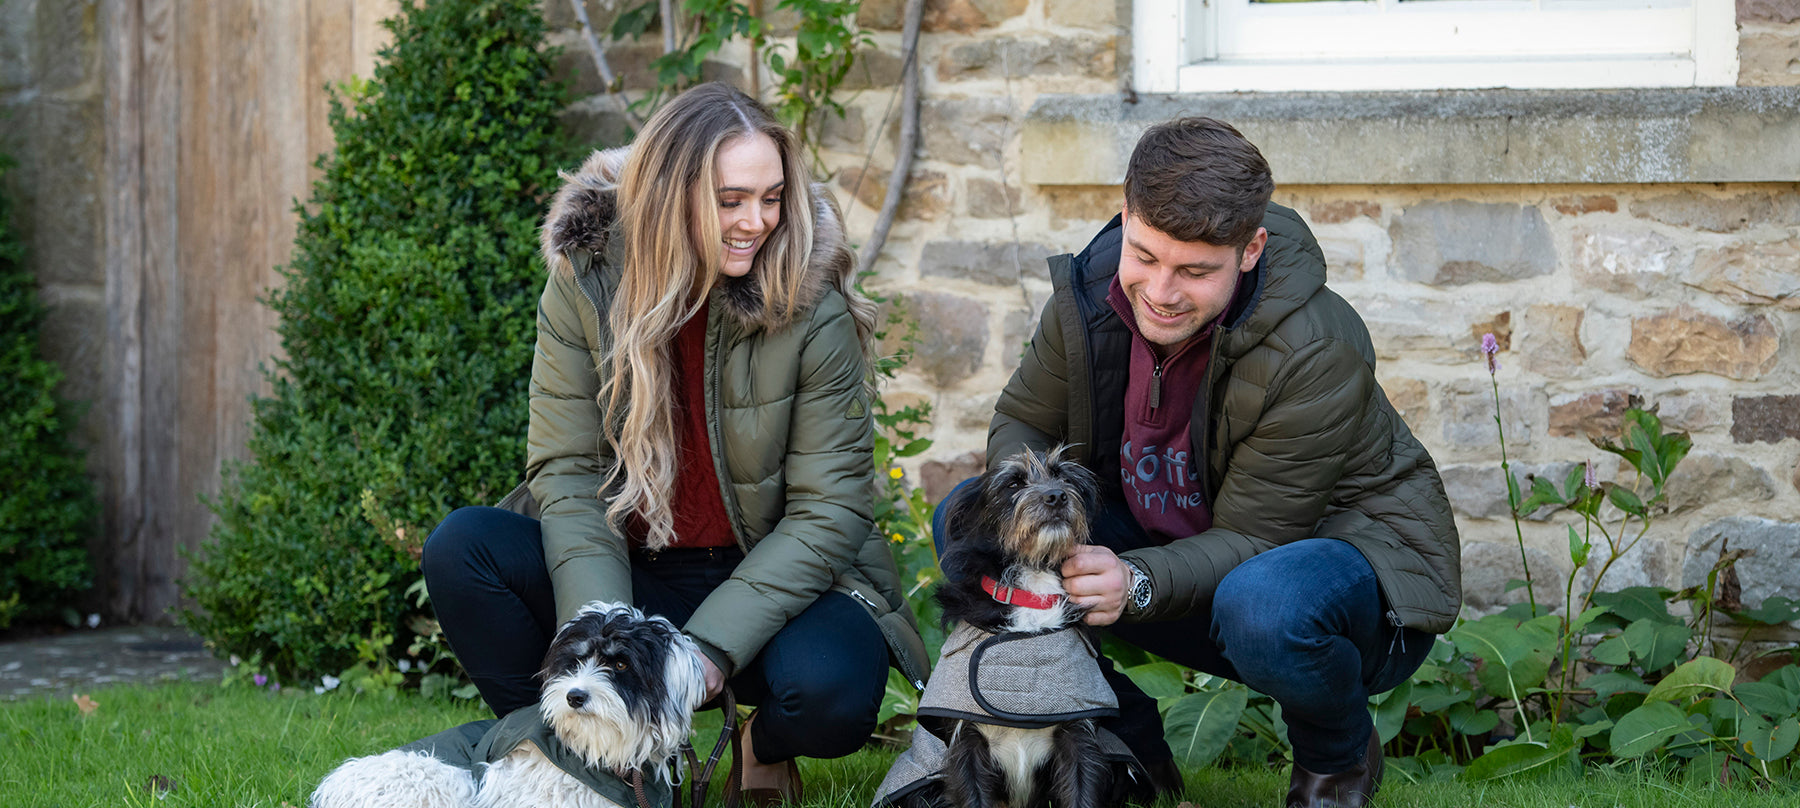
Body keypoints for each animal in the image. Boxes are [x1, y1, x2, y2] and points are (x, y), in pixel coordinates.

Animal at [900, 444, 1123, 806]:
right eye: (1013, 484)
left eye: (1064, 477)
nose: (1057, 496)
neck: (1032, 591)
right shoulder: (966, 743)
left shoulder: (1078, 736)